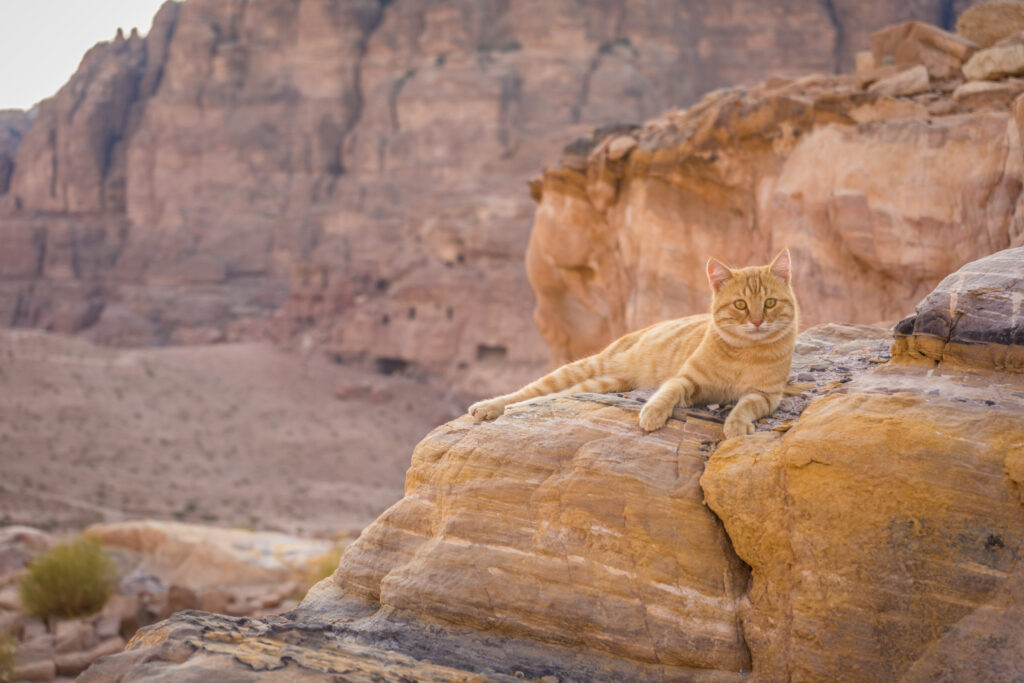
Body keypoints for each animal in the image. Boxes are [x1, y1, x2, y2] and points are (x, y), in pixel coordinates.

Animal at [468, 249, 794, 438]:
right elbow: (667, 393)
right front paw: (652, 415)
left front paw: (736, 426)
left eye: (769, 303)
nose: (757, 321)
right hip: (582, 367)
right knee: (527, 391)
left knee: (543, 398)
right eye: (740, 305)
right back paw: (485, 407)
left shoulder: (765, 396)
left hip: (600, 383)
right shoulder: (687, 380)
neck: (745, 353)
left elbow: (744, 407)